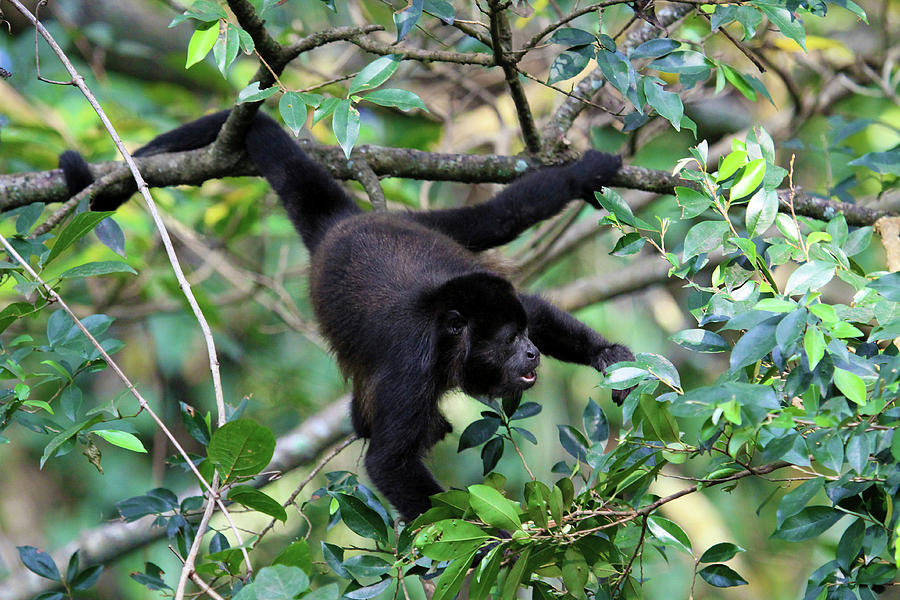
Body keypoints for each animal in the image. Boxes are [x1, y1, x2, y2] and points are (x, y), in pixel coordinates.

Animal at [58, 110, 632, 524]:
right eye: (510, 340)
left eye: (525, 336)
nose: (533, 350)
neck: (446, 332)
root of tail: (344, 223)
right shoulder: (410, 367)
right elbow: (387, 462)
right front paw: (491, 540)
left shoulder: (494, 295)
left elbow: (533, 300)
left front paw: (612, 357)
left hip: (423, 224)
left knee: (499, 217)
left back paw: (581, 175)